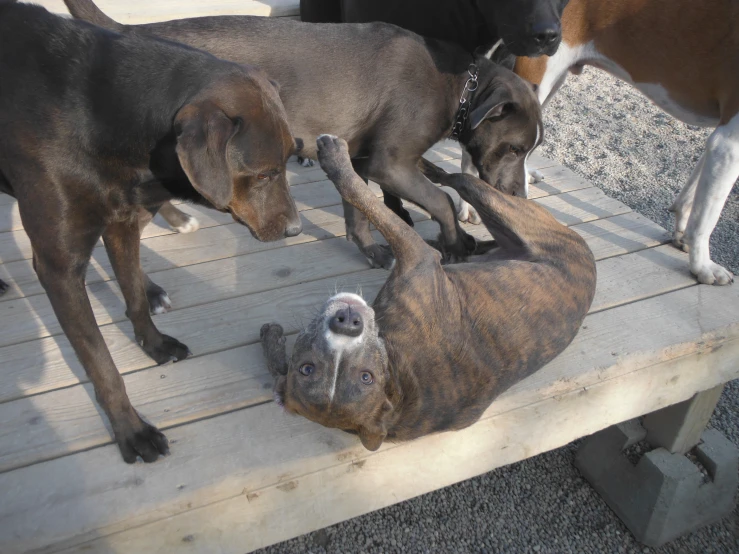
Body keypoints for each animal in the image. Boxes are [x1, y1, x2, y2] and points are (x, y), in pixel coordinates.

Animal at [0, 1, 300, 462]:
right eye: (265, 173)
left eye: (289, 160)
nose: (297, 230)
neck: (102, 113)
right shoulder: (59, 266)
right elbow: (102, 365)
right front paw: (132, 430)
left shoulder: (122, 223)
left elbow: (134, 300)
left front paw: (154, 345)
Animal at [264, 136, 600, 450]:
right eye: (307, 368)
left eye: (365, 376)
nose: (347, 321)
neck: (398, 380)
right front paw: (272, 338)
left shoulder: (417, 255)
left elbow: (361, 195)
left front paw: (336, 161)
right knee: (456, 183)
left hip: (500, 207)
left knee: (456, 179)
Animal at [468, 0, 739, 284]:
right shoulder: (728, 145)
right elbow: (707, 217)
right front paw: (703, 266)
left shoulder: (717, 138)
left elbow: (693, 195)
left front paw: (682, 234)